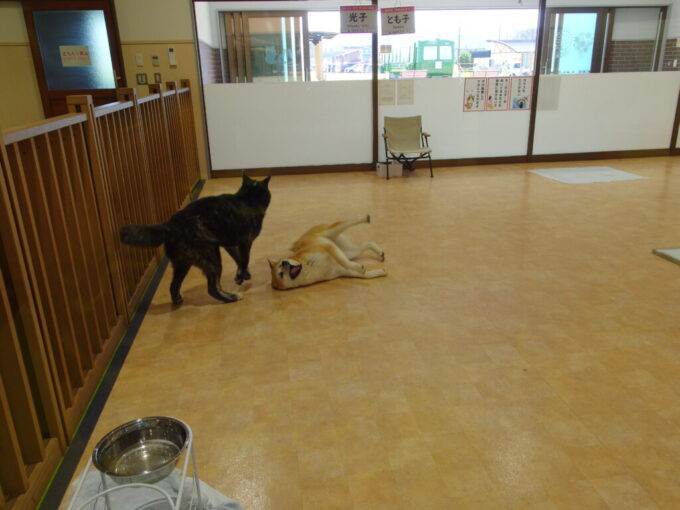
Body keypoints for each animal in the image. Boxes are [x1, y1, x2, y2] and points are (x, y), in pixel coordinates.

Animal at [122, 173, 270, 304]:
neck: (247, 199)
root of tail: (170, 225)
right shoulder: (245, 242)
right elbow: (244, 260)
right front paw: (241, 276)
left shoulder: (229, 245)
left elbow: (238, 259)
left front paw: (243, 275)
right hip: (212, 258)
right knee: (212, 289)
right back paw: (231, 297)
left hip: (182, 264)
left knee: (173, 286)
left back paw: (177, 300)